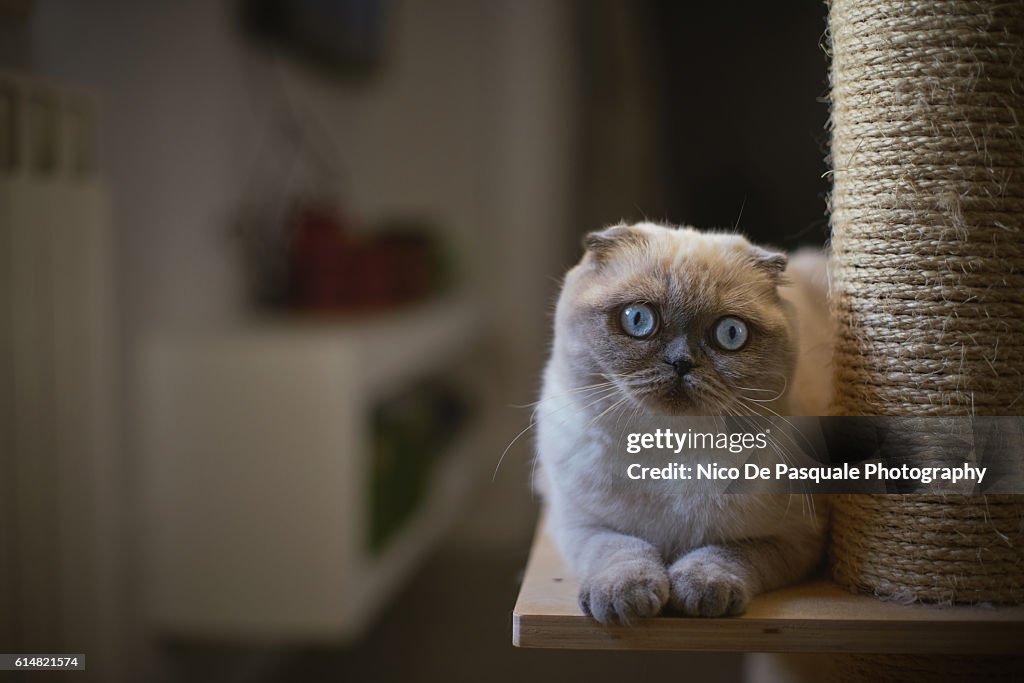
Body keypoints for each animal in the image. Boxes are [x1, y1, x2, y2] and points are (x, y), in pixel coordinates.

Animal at [536, 222, 831, 622]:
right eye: (638, 320)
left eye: (730, 333)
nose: (681, 363)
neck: (670, 449)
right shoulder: (580, 524)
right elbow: (620, 550)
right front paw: (625, 598)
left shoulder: (794, 539)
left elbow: (725, 554)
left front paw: (700, 589)